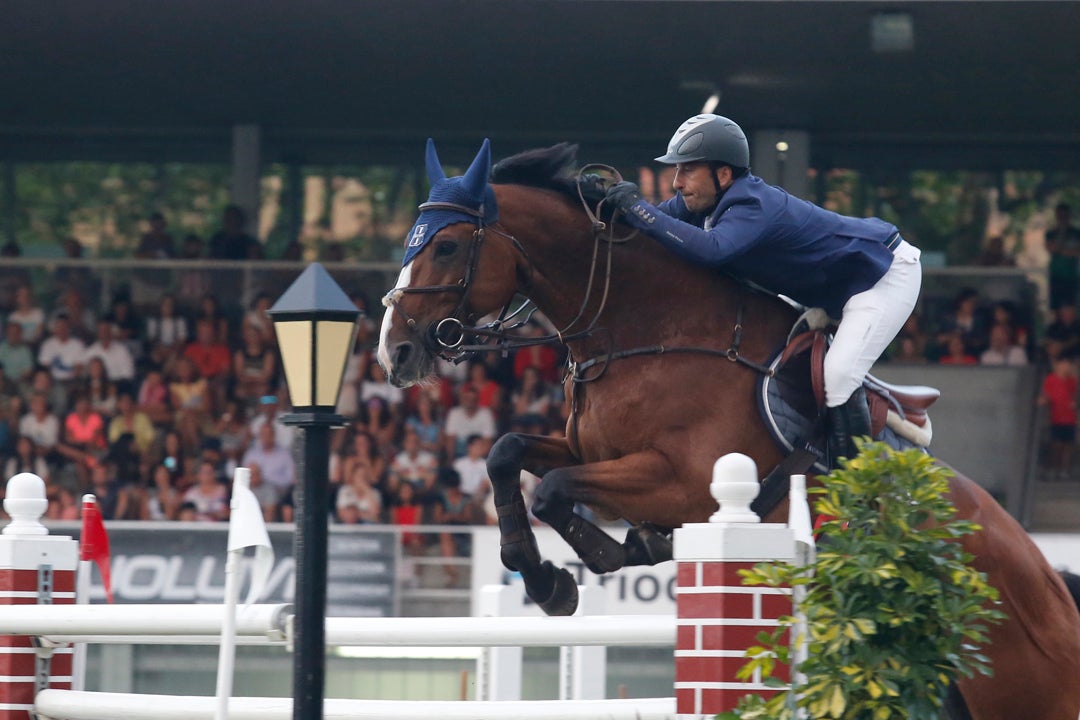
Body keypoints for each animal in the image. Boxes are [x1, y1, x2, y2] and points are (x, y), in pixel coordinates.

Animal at [378, 138, 1080, 716]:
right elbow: (506, 452)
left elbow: (552, 490)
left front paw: (598, 562)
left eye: (446, 245)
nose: (395, 353)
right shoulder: (587, 448)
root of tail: (1051, 581)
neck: (648, 330)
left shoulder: (684, 483)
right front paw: (543, 573)